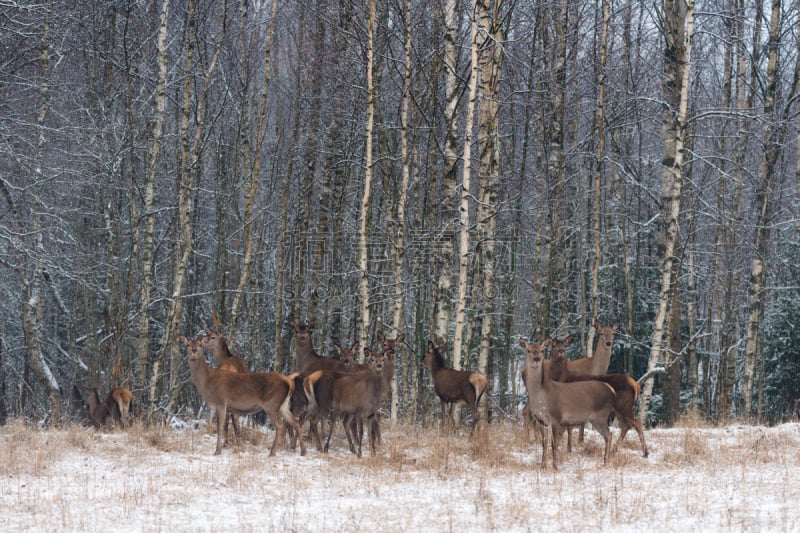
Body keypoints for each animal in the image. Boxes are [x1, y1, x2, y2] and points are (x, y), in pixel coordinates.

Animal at [520, 338, 616, 468]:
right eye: (528, 350)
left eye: (542, 350)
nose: (536, 359)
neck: (541, 397)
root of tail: (611, 390)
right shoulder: (541, 420)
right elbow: (544, 443)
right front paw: (543, 466)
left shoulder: (556, 417)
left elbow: (554, 443)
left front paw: (555, 466)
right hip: (595, 418)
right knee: (608, 435)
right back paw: (606, 461)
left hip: (601, 414)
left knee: (609, 435)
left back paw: (606, 461)